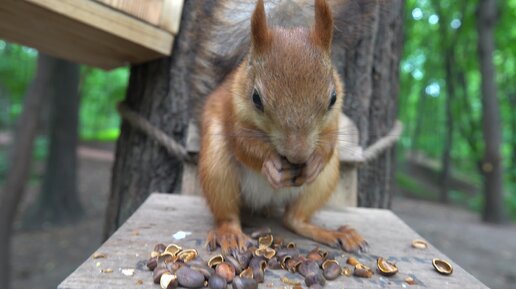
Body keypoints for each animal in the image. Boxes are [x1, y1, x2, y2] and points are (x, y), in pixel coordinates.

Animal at [199, 0, 366, 252]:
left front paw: (316, 160)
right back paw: (230, 234)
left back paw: (330, 232)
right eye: (256, 98)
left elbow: (329, 140)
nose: (298, 156)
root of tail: (264, 203)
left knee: (294, 219)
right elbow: (243, 145)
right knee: (227, 214)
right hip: (216, 167)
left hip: (322, 182)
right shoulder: (231, 114)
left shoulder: (334, 119)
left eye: (333, 98)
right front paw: (270, 165)